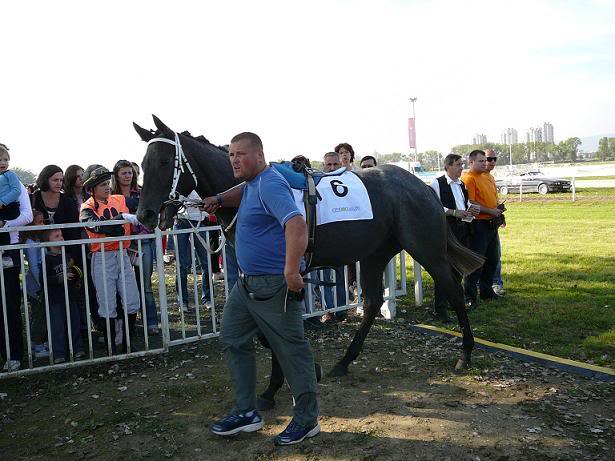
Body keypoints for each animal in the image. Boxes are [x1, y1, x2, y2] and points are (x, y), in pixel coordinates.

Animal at [135, 116, 486, 398]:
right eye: (142, 163)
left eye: (164, 161)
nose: (145, 214)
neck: (248, 191)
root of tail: (424, 186)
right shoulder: (253, 274)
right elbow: (265, 329)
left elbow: (273, 328)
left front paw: (278, 383)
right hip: (375, 253)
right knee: (373, 302)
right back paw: (344, 361)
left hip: (425, 248)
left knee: (453, 289)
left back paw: (465, 352)